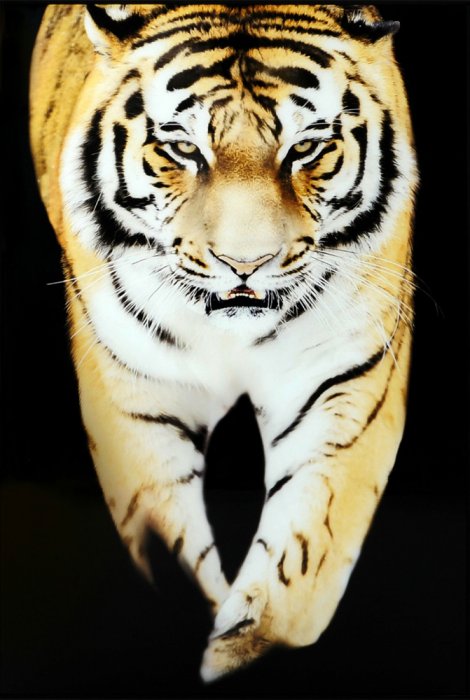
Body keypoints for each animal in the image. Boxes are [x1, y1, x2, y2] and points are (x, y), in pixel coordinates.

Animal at [29, 2, 418, 681]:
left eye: (305, 147)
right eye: (184, 148)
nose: (245, 264)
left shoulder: (345, 387)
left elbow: (301, 562)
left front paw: (238, 648)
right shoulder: (137, 399)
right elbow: (165, 540)